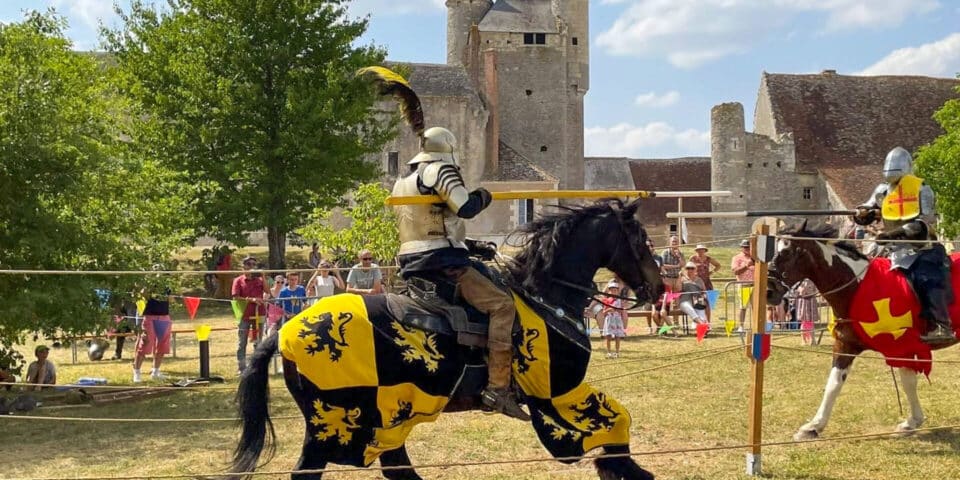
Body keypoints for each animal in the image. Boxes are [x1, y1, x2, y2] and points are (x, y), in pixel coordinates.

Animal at [229, 197, 664, 478]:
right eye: (640, 240)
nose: (658, 289)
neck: (545, 295)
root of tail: (285, 332)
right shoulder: (559, 393)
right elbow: (618, 423)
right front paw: (624, 467)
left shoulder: (562, 396)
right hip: (336, 421)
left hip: (387, 416)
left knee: (398, 468)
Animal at [764, 221, 960, 438]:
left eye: (788, 252)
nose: (769, 291)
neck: (856, 287)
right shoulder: (846, 346)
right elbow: (833, 383)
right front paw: (814, 426)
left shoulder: (901, 347)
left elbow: (908, 382)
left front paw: (912, 422)